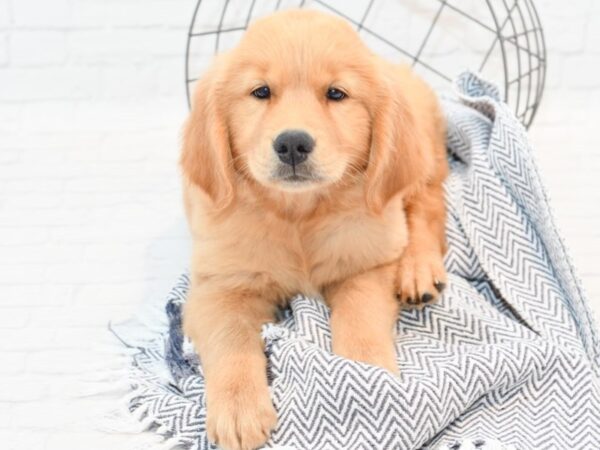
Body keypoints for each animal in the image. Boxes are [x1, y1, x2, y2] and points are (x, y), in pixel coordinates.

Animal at [180, 7, 448, 450]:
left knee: (427, 205)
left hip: (418, 160)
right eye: (261, 92)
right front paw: (239, 408)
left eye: (336, 94)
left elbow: (360, 317)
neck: (298, 216)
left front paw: (366, 379)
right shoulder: (217, 285)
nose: (292, 144)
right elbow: (231, 338)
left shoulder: (366, 262)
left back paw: (418, 269)